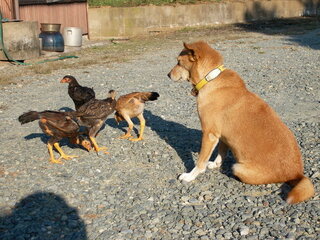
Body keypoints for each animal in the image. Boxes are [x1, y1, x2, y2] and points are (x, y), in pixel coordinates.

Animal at [168, 40, 316, 203]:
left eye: (178, 62)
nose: (168, 75)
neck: (210, 79)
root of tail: (297, 173)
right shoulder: (222, 136)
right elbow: (221, 152)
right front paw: (215, 164)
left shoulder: (209, 134)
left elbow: (200, 162)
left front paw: (190, 176)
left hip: (238, 167)